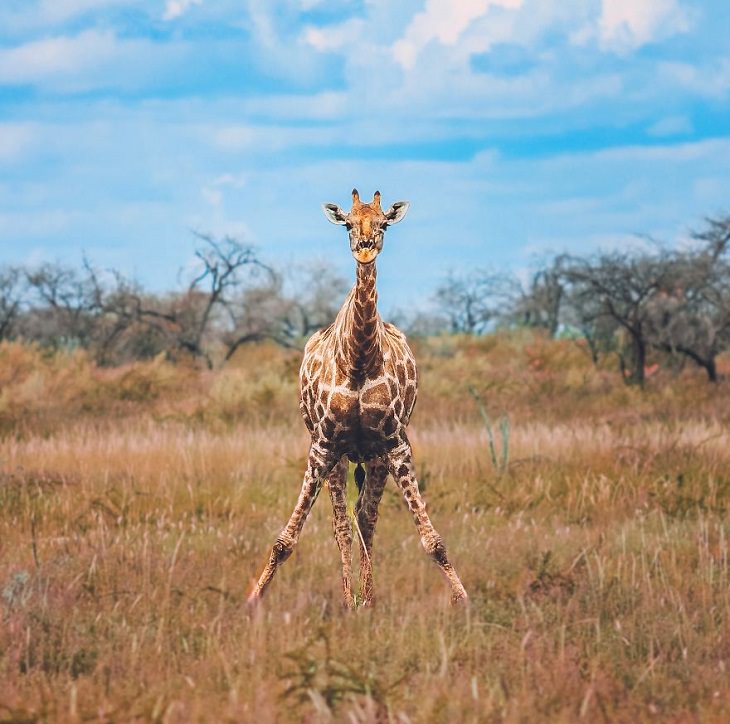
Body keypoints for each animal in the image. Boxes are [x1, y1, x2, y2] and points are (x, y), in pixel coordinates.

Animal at [247, 189, 466, 608]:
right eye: (348, 223)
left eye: (383, 224)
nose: (365, 249)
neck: (360, 358)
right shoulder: (323, 445)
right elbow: (287, 541)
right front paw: (252, 600)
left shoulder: (396, 443)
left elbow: (433, 541)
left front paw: (464, 601)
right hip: (336, 455)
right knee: (342, 523)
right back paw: (352, 600)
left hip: (374, 456)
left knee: (365, 517)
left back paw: (368, 599)